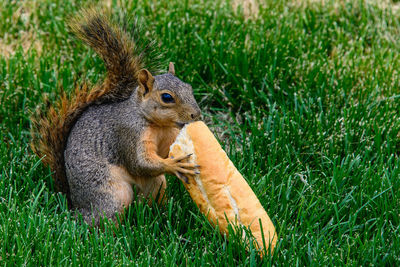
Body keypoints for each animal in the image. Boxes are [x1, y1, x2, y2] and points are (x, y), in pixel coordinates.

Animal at [30, 8, 203, 226]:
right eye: (166, 97)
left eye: (189, 88)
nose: (196, 114)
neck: (158, 124)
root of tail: (75, 206)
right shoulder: (128, 134)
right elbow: (139, 163)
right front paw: (173, 165)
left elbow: (161, 153)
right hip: (111, 194)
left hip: (155, 185)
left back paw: (157, 216)